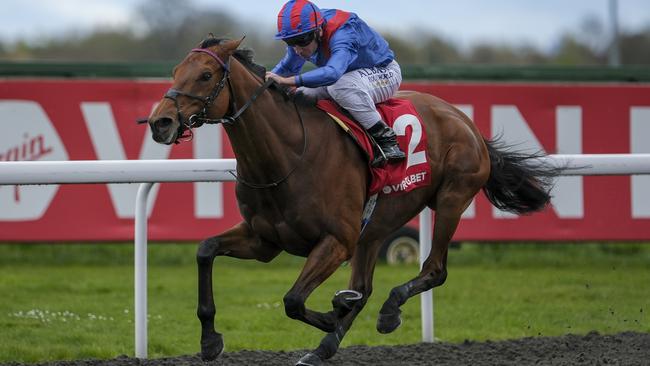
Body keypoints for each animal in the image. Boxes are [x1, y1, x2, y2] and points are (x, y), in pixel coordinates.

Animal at [144, 38, 560, 366]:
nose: (160, 122)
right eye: (176, 71)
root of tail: (464, 119)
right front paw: (210, 341)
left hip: (452, 198)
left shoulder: (336, 241)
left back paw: (388, 312)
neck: (287, 155)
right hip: (373, 228)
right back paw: (325, 345)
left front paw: (334, 313)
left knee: (434, 269)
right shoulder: (263, 241)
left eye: (205, 76)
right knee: (366, 285)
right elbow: (205, 250)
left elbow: (293, 300)